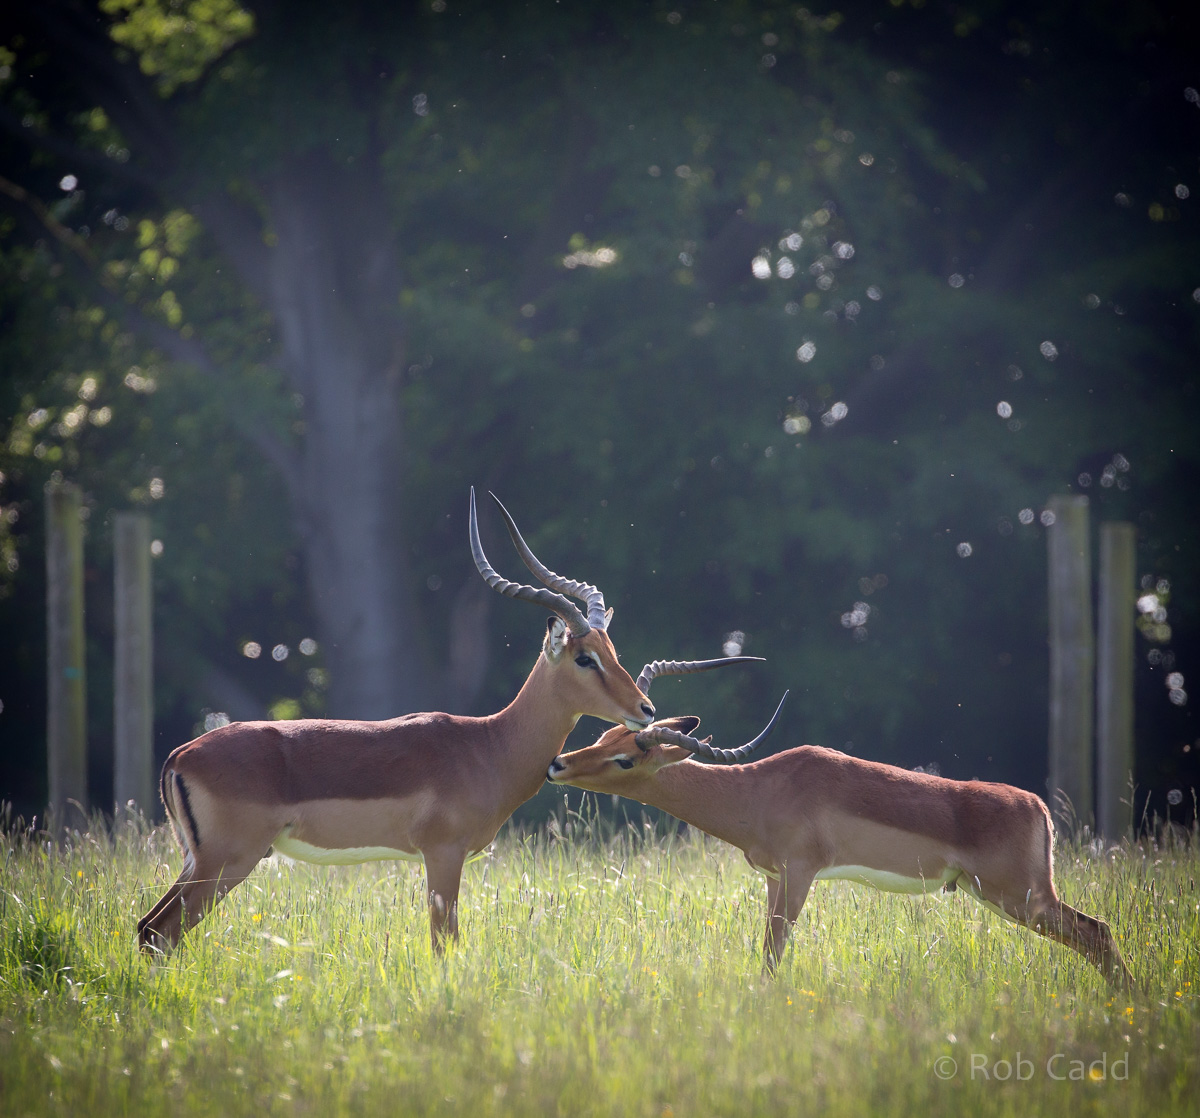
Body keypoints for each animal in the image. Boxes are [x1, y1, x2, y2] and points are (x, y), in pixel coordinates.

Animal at [137, 490, 742, 955]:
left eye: (611, 649)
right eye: (583, 657)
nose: (645, 709)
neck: (489, 745)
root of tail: (180, 756)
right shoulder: (443, 856)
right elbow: (444, 945)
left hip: (202, 862)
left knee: (149, 928)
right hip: (226, 862)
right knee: (159, 932)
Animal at [546, 668, 1134, 988]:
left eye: (626, 757)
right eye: (605, 735)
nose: (556, 764)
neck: (757, 789)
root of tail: (1037, 806)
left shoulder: (800, 873)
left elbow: (775, 953)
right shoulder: (773, 877)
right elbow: (765, 951)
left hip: (1020, 897)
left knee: (1097, 931)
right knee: (1095, 934)